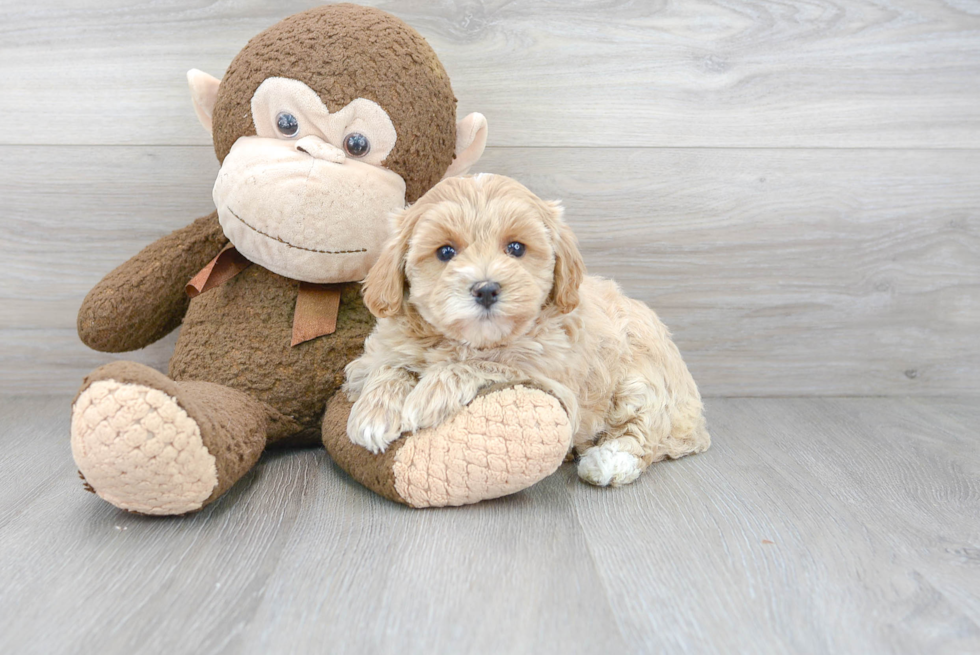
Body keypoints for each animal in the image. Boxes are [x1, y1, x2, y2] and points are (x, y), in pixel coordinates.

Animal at [340, 174, 708, 486]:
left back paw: (607, 461)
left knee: (641, 432)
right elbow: (389, 365)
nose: (486, 289)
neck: (473, 340)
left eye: (516, 248)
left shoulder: (549, 378)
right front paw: (373, 414)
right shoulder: (377, 354)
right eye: (445, 251)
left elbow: (487, 364)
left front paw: (429, 394)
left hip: (641, 381)